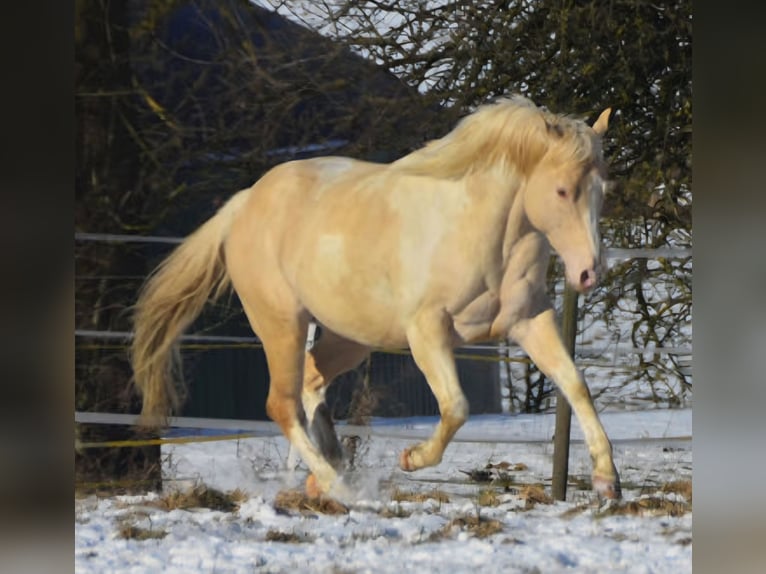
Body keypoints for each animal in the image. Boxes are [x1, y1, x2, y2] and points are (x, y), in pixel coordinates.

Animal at [130, 95, 621, 502]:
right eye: (562, 190)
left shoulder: (529, 320)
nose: (588, 273)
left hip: (349, 337)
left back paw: (327, 472)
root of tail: (244, 204)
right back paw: (336, 484)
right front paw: (413, 459)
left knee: (311, 382)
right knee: (282, 404)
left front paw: (607, 482)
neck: (483, 231)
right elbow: (456, 407)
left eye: (604, 191)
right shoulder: (427, 331)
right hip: (283, 325)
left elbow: (575, 384)